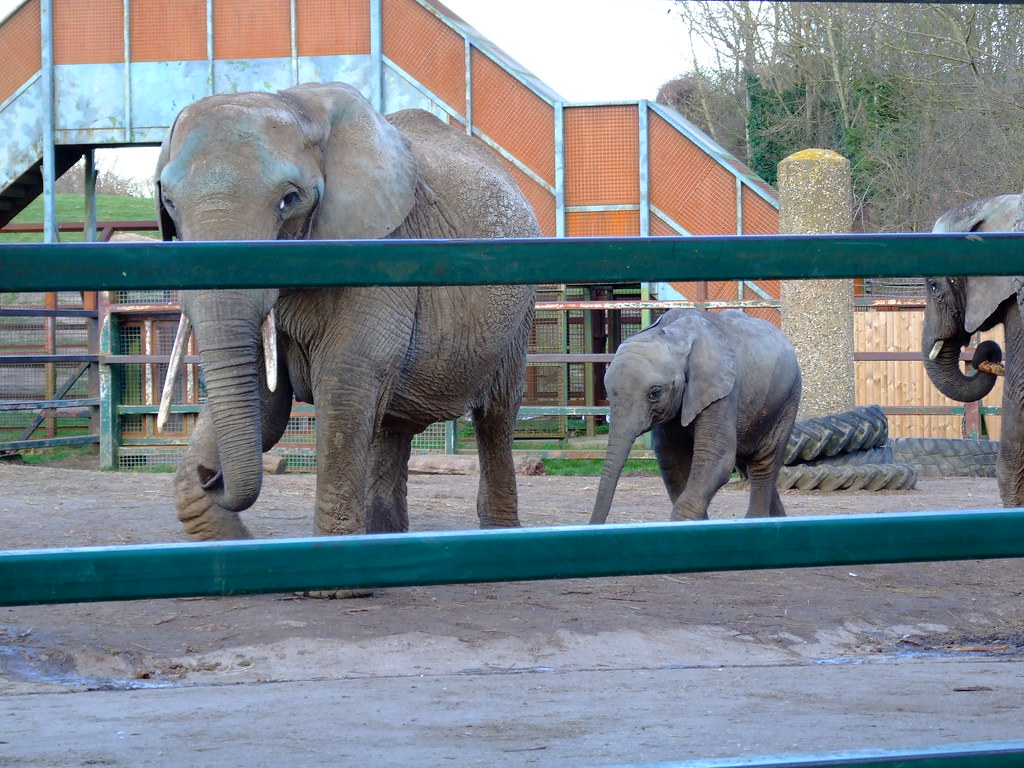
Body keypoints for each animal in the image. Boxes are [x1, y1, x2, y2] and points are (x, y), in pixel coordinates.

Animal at [155, 82, 540, 542]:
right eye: (169, 202)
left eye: (289, 200)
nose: (210, 476)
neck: (297, 104)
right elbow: (265, 407)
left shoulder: (380, 254)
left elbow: (343, 389)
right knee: (391, 424)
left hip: (519, 315)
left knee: (496, 416)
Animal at [590, 308, 802, 524]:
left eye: (654, 393)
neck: (673, 335)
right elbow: (671, 459)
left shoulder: (721, 389)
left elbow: (716, 458)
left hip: (787, 398)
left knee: (763, 463)